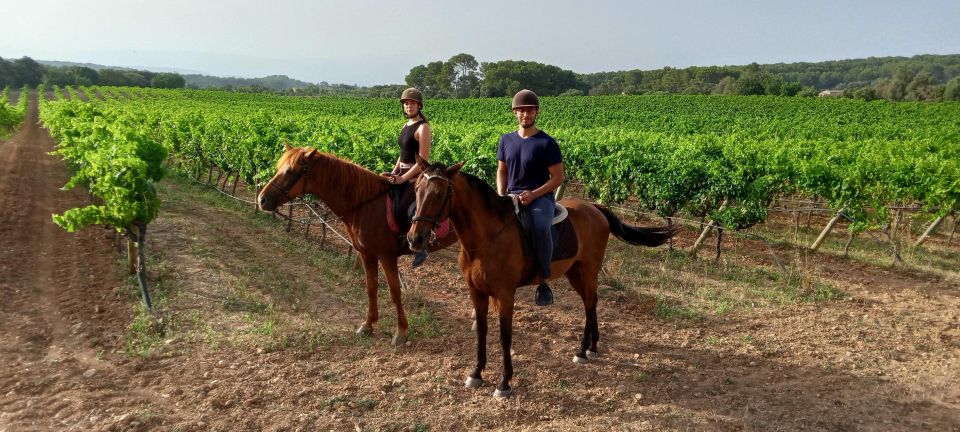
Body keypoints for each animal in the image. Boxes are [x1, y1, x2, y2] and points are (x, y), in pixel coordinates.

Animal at [256, 145, 460, 348]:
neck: (366, 204)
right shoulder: (366, 254)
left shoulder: (386, 256)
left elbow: (395, 293)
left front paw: (401, 332)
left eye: (291, 171)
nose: (262, 200)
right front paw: (368, 325)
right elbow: (371, 288)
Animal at [404, 157, 676, 396]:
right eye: (416, 189)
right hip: (575, 273)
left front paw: (504, 383)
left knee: (590, 304)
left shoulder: (505, 295)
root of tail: (595, 208)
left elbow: (505, 336)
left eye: (439, 194)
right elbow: (481, 331)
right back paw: (592, 346)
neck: (485, 239)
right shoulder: (476, 292)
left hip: (588, 270)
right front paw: (476, 373)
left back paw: (582, 350)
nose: (415, 238)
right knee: (592, 302)